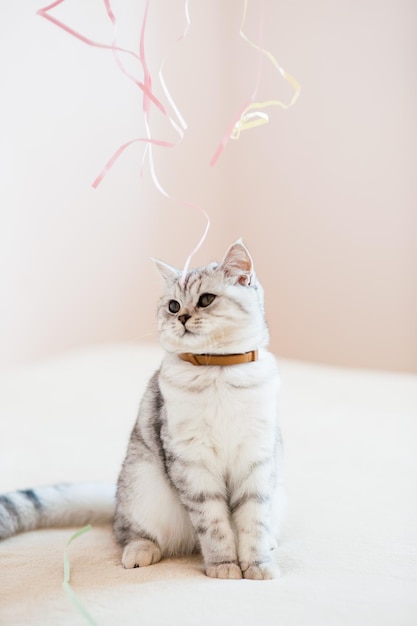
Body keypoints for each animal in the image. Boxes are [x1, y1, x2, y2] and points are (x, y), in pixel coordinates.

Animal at [0, 240, 282, 580]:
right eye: (173, 306)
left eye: (206, 300)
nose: (182, 317)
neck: (218, 371)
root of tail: (115, 499)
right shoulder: (192, 462)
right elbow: (214, 526)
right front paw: (223, 566)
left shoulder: (257, 459)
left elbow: (253, 523)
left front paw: (257, 566)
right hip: (142, 486)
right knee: (127, 532)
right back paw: (139, 552)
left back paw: (272, 542)